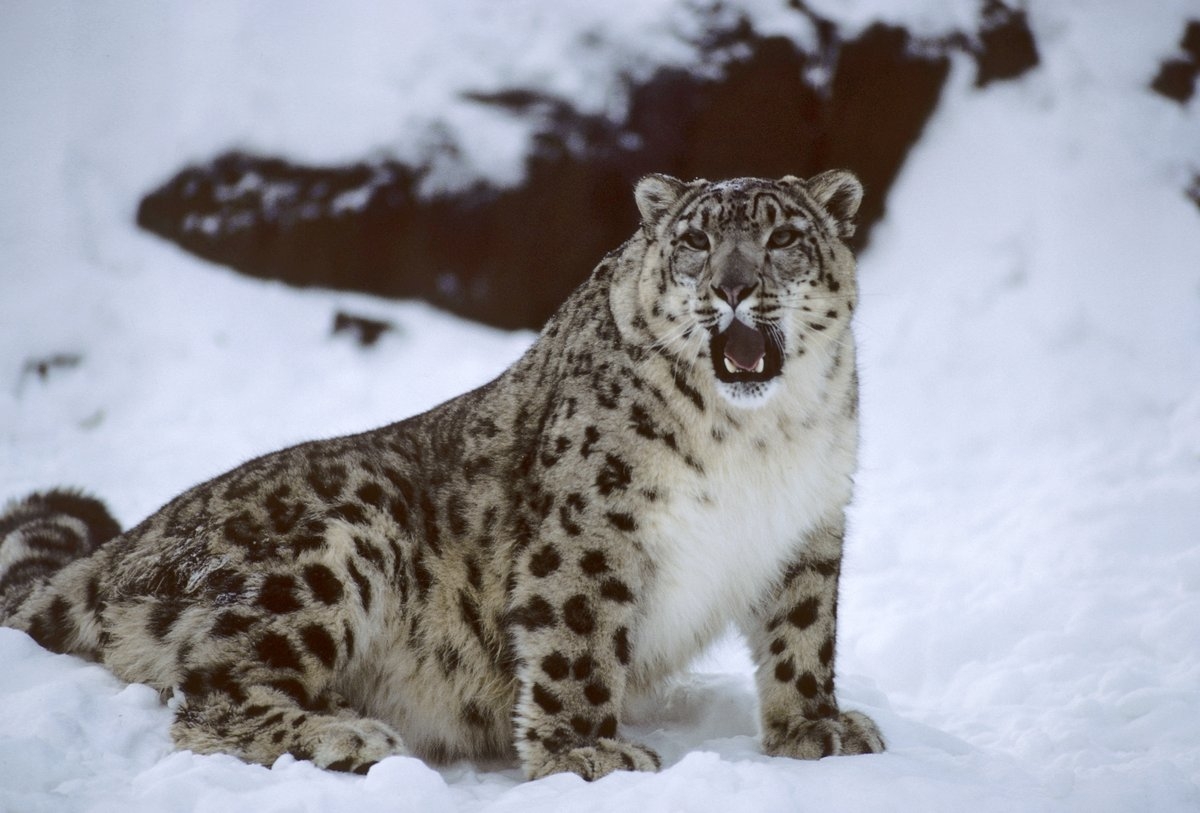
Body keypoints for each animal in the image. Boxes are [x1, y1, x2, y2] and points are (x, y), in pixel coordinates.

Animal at [0, 171, 884, 781]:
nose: (734, 287)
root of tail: (118, 550)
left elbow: (804, 631)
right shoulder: (593, 524)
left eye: (782, 237)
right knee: (211, 693)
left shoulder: (811, 524)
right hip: (338, 540)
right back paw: (346, 735)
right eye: (697, 242)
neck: (758, 440)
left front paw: (817, 728)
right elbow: (577, 635)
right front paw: (585, 750)